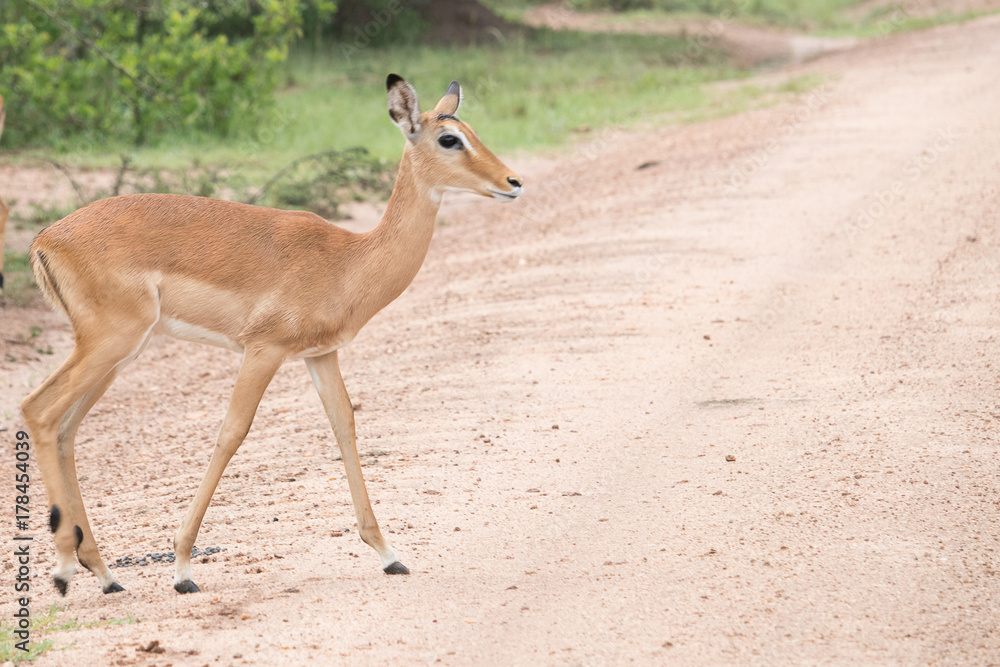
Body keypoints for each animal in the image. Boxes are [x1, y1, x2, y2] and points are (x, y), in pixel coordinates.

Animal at [21, 75, 522, 596]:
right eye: (449, 139)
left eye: (470, 130)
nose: (513, 182)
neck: (348, 260)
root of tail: (46, 238)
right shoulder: (263, 350)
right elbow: (232, 431)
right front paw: (182, 568)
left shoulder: (320, 355)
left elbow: (344, 425)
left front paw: (389, 555)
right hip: (110, 344)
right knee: (39, 411)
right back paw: (66, 569)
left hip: (116, 355)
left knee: (65, 429)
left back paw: (105, 576)